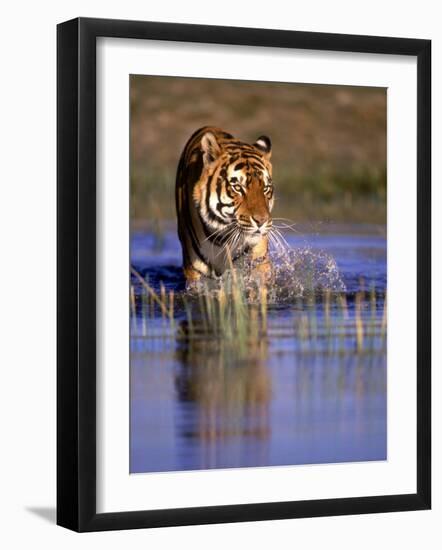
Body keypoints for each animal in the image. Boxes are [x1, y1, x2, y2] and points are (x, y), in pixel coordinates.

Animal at [175, 127, 272, 284]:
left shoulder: (258, 261)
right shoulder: (195, 269)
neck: (223, 239)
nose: (261, 221)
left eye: (265, 188)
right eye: (238, 187)